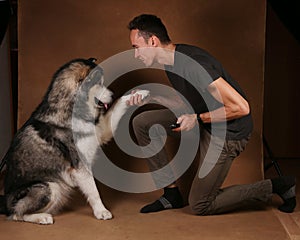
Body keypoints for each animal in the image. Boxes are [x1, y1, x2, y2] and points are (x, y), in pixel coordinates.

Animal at [0, 58, 149, 225]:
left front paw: (138, 94)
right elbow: (94, 191)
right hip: (49, 187)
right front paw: (101, 211)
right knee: (17, 214)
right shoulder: (80, 167)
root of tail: (5, 203)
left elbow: (118, 105)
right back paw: (42, 217)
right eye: (99, 83)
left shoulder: (101, 130)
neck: (72, 109)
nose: (112, 94)